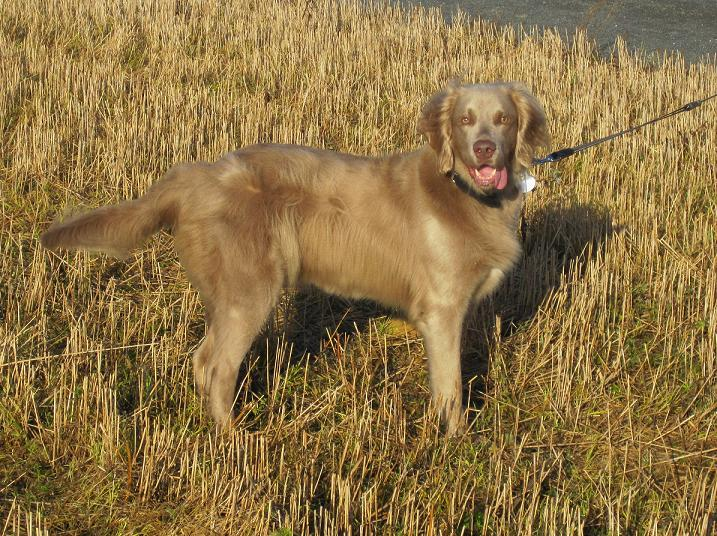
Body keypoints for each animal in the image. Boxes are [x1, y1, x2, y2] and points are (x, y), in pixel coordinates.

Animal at [40, 84, 548, 436]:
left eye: (502, 118)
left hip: (227, 293)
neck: (468, 195)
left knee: (202, 361)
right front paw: (456, 439)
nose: (484, 147)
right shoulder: (441, 311)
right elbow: (451, 387)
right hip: (250, 290)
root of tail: (194, 177)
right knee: (216, 366)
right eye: (465, 119)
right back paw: (234, 439)